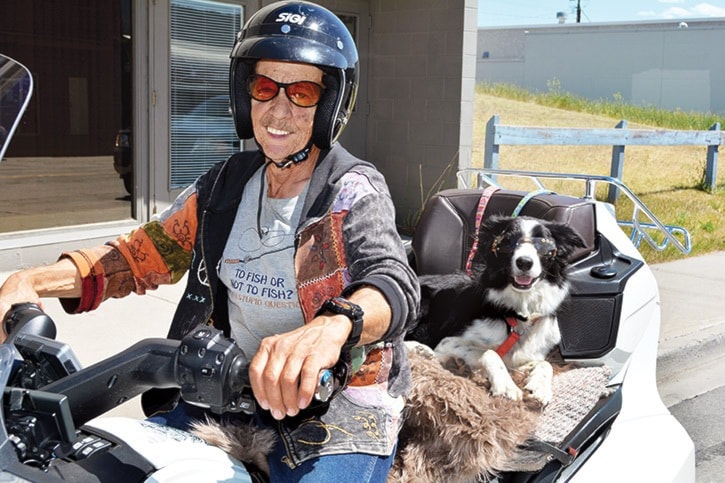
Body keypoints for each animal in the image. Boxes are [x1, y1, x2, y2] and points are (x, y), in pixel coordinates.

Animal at [410, 217, 584, 406]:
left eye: (544, 245)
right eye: (507, 242)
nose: (524, 262)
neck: (518, 314)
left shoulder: (520, 358)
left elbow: (546, 364)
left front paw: (539, 387)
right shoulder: (446, 343)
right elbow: (490, 352)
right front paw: (506, 385)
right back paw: (420, 349)